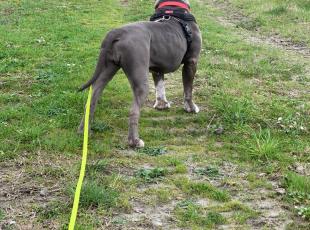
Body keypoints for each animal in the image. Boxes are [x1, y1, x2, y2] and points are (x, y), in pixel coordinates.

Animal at [78, 0, 201, 147]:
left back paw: (83, 131)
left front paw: (162, 105)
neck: (172, 7)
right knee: (133, 111)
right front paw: (191, 108)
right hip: (140, 81)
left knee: (91, 100)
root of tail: (117, 32)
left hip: (108, 68)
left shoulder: (157, 67)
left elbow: (160, 87)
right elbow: (188, 89)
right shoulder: (191, 62)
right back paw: (134, 141)